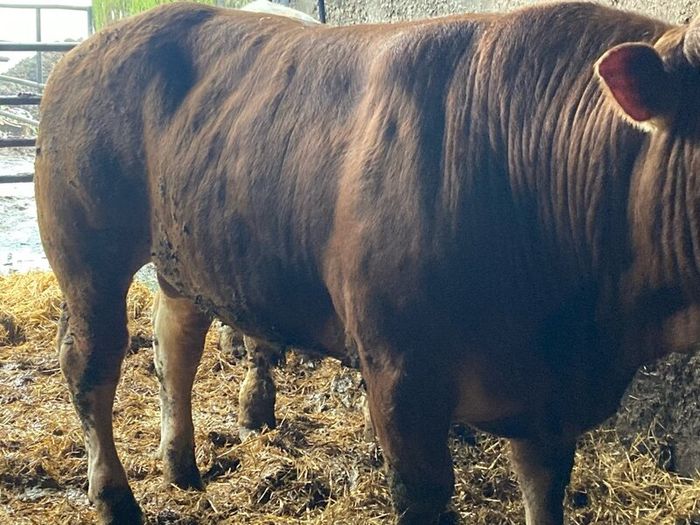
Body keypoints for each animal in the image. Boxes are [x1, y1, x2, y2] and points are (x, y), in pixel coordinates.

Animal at [35, 1, 700, 524]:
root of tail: (82, 50)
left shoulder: (546, 405)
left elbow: (544, 493)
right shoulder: (401, 376)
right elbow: (422, 495)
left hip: (186, 251)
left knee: (173, 344)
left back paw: (181, 465)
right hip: (87, 254)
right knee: (90, 364)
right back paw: (114, 498)